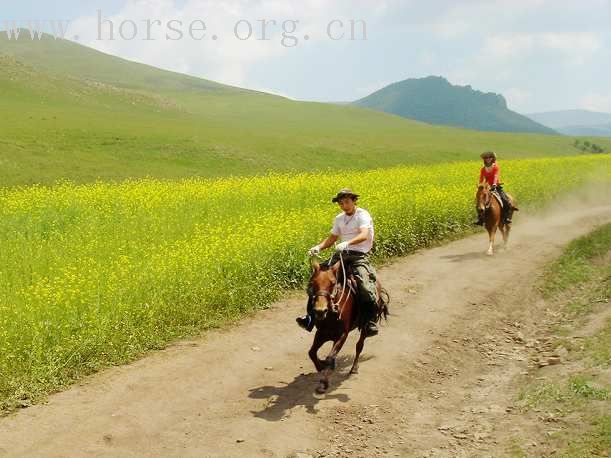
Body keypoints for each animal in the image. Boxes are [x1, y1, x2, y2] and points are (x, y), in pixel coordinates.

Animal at [308, 258, 390, 394]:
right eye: (313, 283)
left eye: (332, 283)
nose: (320, 311)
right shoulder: (321, 333)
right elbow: (312, 352)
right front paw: (320, 365)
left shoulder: (342, 335)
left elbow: (330, 357)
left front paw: (324, 382)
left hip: (364, 326)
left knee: (359, 346)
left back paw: (354, 368)